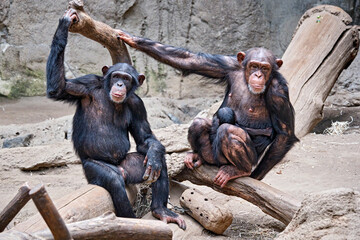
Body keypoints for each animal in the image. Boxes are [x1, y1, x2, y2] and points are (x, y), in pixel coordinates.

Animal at [45, 9, 186, 230]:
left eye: (126, 79)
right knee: (113, 180)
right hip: (92, 167)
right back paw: (128, 220)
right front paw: (65, 24)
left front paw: (154, 155)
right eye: (116, 76)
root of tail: (122, 168)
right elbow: (58, 87)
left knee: (157, 161)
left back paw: (160, 209)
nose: (119, 84)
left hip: (132, 165)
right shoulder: (85, 84)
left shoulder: (138, 104)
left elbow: (146, 138)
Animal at [118, 29, 298, 188]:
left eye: (265, 68)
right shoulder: (229, 64)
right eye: (254, 66)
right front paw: (131, 38)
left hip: (236, 159)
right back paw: (198, 156)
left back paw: (239, 170)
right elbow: (191, 60)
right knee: (199, 123)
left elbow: (284, 133)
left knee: (228, 131)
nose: (258, 75)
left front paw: (255, 176)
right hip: (212, 155)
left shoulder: (278, 90)